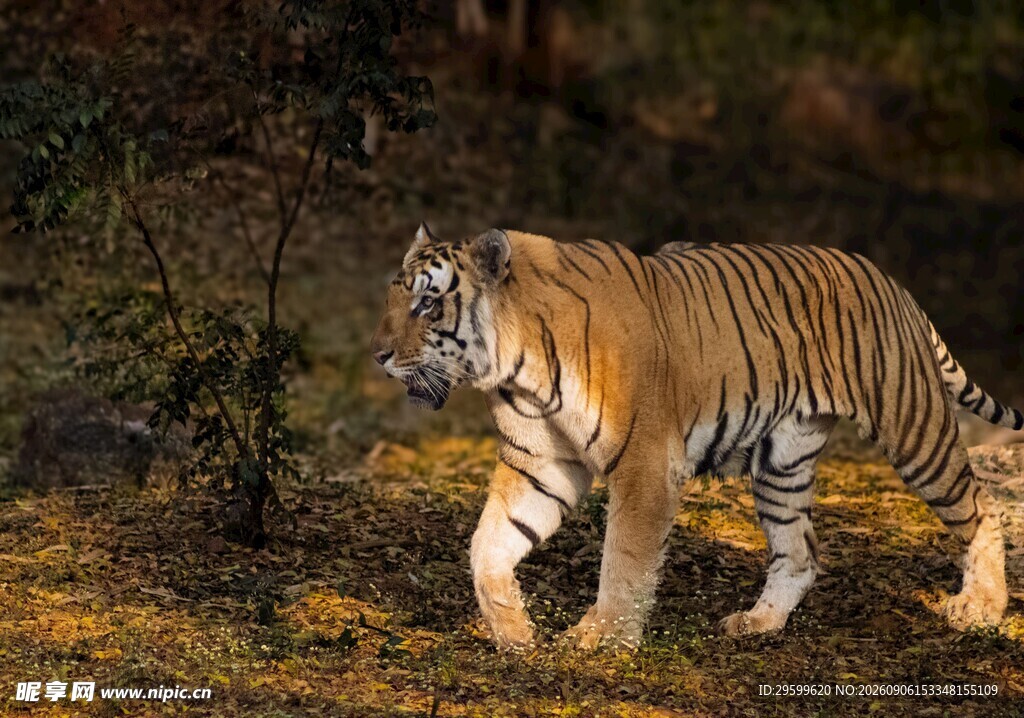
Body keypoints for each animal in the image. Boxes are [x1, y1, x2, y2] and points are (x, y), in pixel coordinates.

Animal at [370, 222, 1022, 650]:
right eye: (393, 297)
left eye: (428, 304)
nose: (378, 356)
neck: (514, 363)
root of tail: (893, 284)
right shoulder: (541, 461)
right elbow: (488, 544)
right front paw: (513, 629)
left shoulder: (644, 463)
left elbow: (624, 559)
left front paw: (601, 639)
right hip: (783, 462)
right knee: (801, 552)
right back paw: (757, 624)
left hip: (913, 428)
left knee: (982, 509)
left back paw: (982, 609)